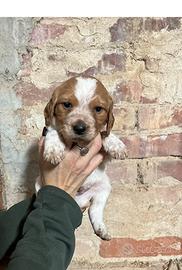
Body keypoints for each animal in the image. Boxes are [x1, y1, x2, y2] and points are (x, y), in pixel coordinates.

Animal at [35, 76, 126, 240]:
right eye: (67, 105)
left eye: (98, 109)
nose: (79, 128)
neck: (79, 142)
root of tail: (77, 201)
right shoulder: (47, 131)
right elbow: (54, 130)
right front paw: (54, 148)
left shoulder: (103, 153)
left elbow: (103, 133)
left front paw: (116, 144)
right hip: (39, 185)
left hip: (103, 188)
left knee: (95, 211)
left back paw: (101, 229)